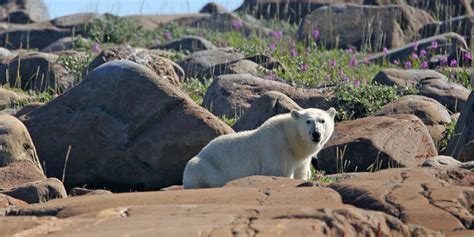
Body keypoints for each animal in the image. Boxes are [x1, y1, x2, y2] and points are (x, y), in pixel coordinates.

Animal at [182, 108, 336, 189]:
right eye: (308, 121)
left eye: (322, 120)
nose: (316, 134)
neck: (291, 139)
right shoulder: (276, 148)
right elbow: (279, 173)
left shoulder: (301, 160)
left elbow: (301, 174)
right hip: (205, 167)